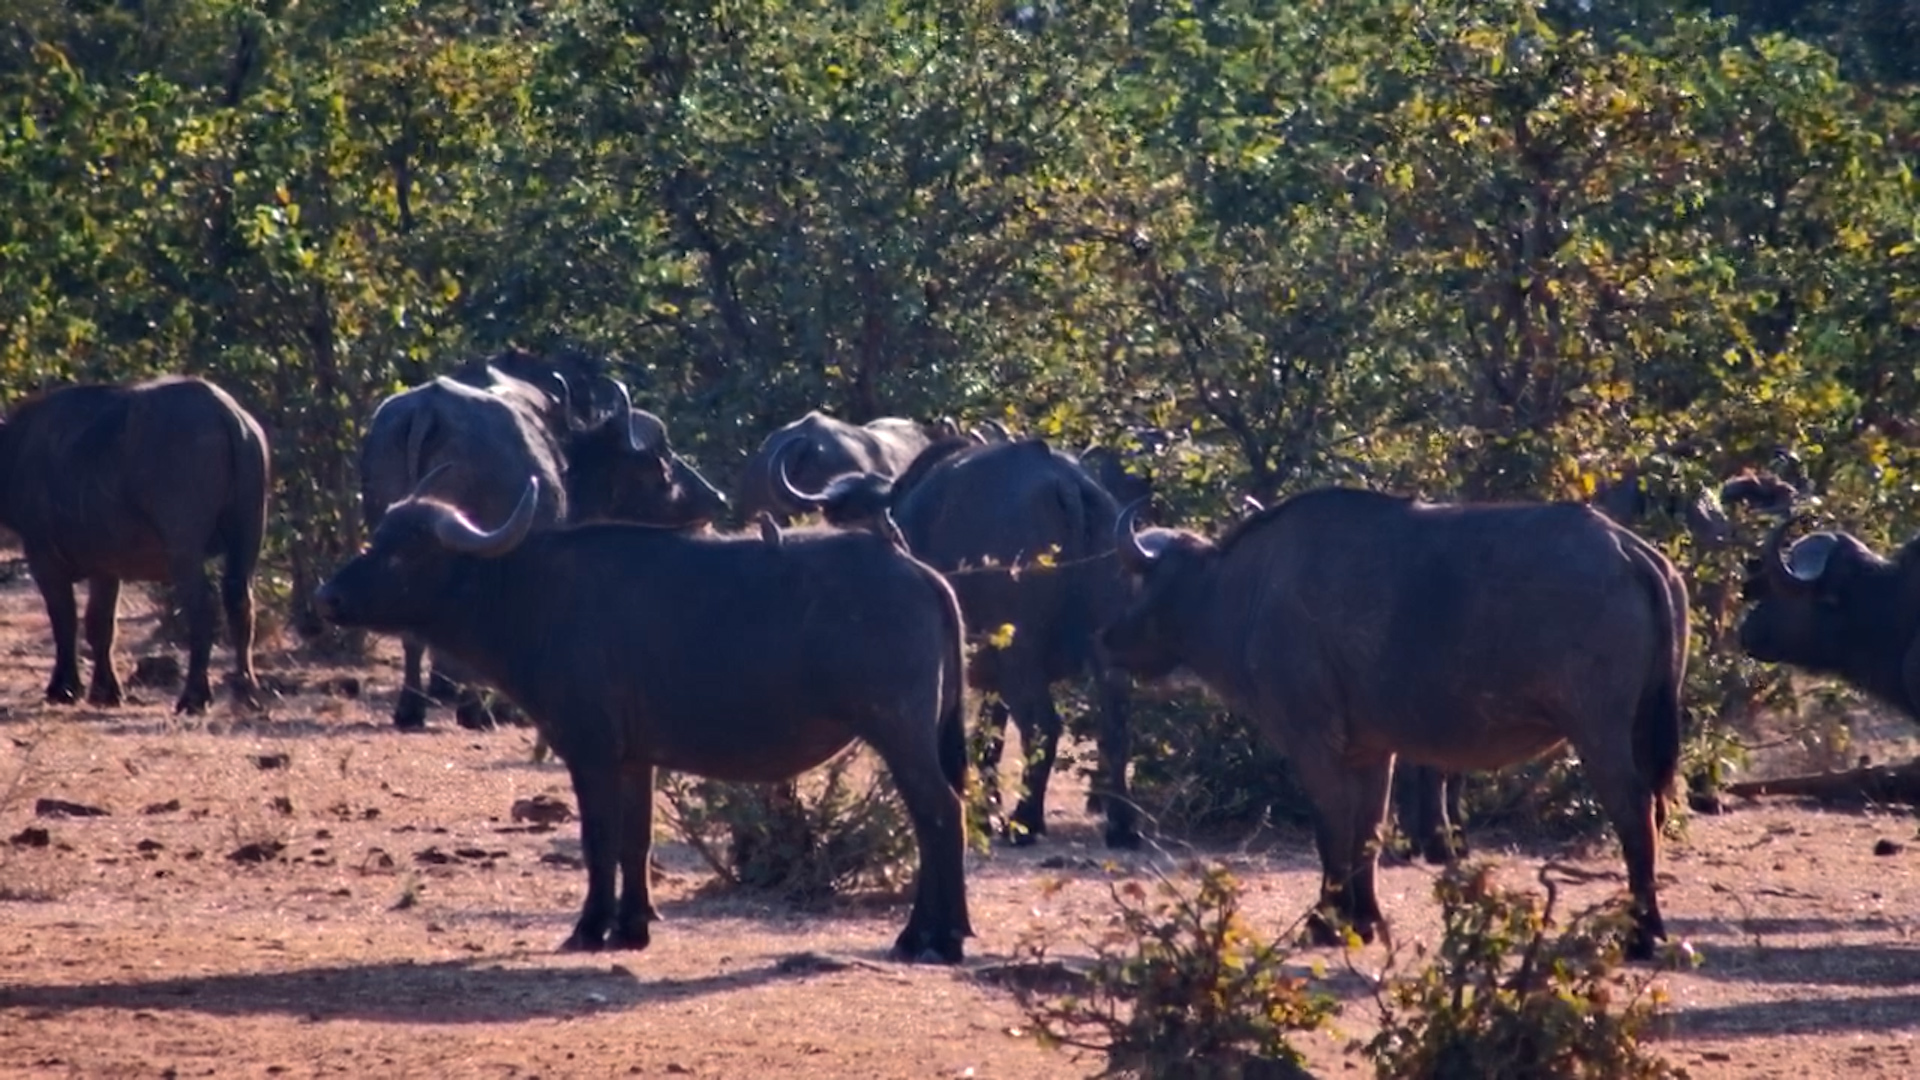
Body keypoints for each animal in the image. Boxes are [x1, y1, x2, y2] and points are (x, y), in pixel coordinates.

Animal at [0, 376, 269, 715]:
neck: (13, 448)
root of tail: (227, 413)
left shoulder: (43, 558)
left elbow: (64, 621)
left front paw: (63, 688)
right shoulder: (105, 567)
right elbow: (100, 624)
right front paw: (106, 691)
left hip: (183, 546)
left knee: (202, 607)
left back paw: (193, 696)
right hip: (249, 531)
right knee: (239, 600)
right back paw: (246, 690)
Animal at [313, 473, 973, 962]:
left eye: (407, 549)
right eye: (377, 535)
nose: (328, 598)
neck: (531, 595)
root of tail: (920, 572)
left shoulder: (590, 751)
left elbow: (598, 839)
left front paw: (588, 927)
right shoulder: (636, 759)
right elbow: (636, 840)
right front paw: (632, 927)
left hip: (899, 731)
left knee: (939, 814)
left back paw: (929, 938)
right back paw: (944, 932)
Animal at [359, 357, 725, 728]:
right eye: (662, 462)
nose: (718, 498)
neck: (567, 454)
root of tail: (428, 410)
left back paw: (412, 709)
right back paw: (473, 710)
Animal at [782, 436, 1141, 849]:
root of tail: (1064, 483)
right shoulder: (989, 680)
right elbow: (990, 739)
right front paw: (986, 813)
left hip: (1020, 655)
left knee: (1043, 726)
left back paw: (1026, 821)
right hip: (1103, 651)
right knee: (1116, 726)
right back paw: (1122, 826)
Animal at [1102, 488, 1687, 958]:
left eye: (1135, 584)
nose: (1104, 640)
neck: (1246, 591)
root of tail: (1625, 547)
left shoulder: (1313, 743)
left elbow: (1331, 829)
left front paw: (1325, 921)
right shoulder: (1371, 751)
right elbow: (1369, 830)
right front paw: (1366, 919)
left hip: (1600, 733)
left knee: (1634, 813)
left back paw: (1641, 935)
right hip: (1642, 729)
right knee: (1656, 811)